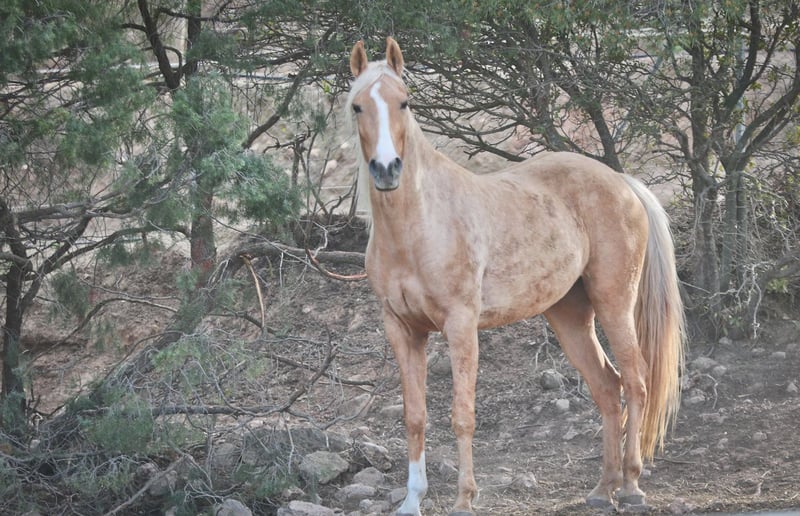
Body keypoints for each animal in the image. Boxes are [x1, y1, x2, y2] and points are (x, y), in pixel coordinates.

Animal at [347, 37, 685, 515]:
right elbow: (415, 418)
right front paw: (412, 501)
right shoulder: (403, 330)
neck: (420, 224)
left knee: (635, 381)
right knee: (607, 387)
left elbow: (462, 416)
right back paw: (604, 488)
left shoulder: (460, 325)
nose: (386, 169)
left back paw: (632, 486)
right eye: (358, 106)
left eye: (405, 102)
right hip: (569, 316)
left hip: (615, 303)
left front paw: (464, 499)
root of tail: (622, 182)